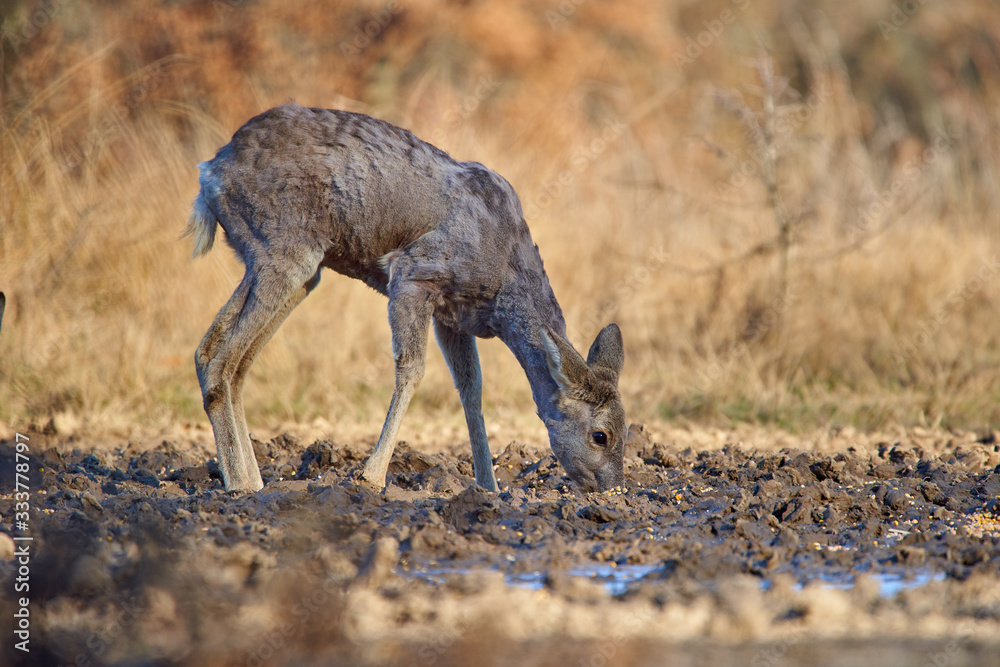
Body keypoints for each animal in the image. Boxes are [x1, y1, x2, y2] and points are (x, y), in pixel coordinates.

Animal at [187, 104, 627, 494]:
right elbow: (413, 370)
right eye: (600, 435)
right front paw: (372, 475)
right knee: (225, 359)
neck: (501, 289)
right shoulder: (414, 273)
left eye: (629, 429)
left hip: (287, 266)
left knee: (215, 354)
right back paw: (241, 483)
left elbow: (471, 389)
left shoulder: (453, 315)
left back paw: (250, 477)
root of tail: (209, 174)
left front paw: (488, 487)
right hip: (285, 250)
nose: (613, 487)